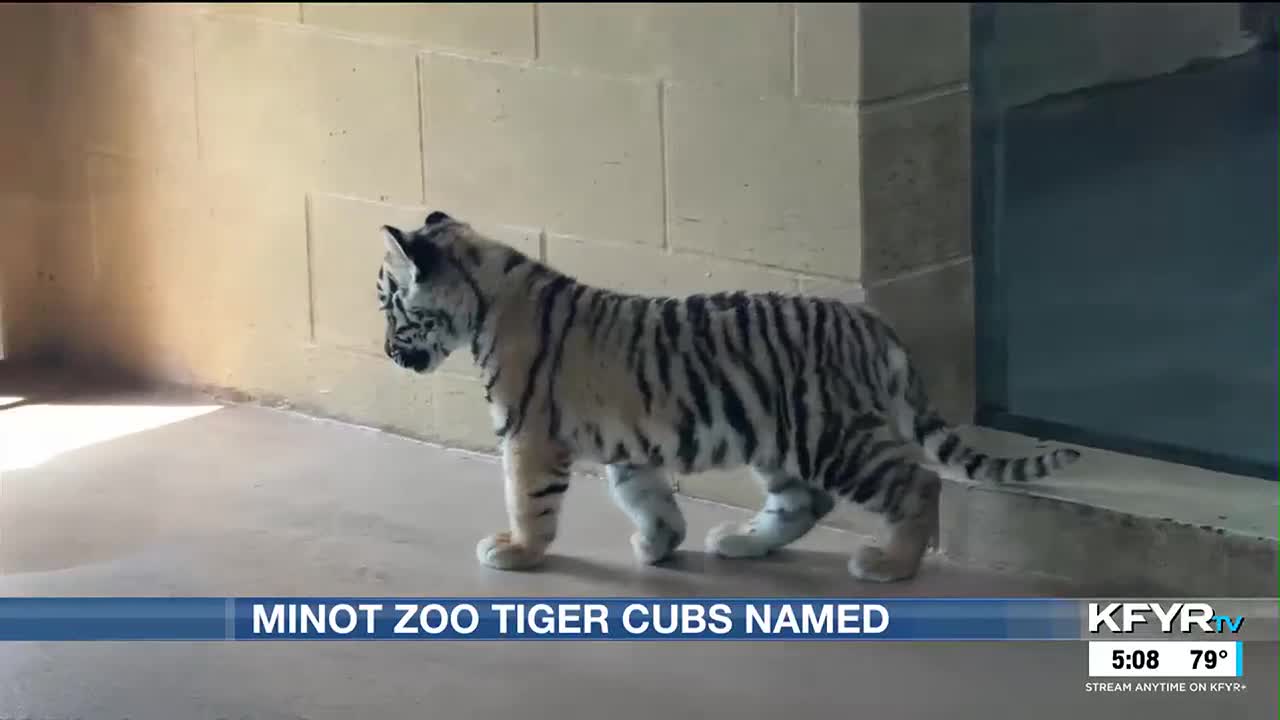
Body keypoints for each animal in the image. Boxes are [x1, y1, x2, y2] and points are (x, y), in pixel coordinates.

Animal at [376, 210, 1081, 582]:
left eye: (388, 304)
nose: (385, 352)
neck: (483, 302)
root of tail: (872, 322)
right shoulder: (627, 445)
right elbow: (646, 497)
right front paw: (658, 545)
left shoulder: (528, 436)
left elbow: (529, 502)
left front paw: (516, 550)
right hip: (782, 438)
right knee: (805, 501)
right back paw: (741, 543)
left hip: (831, 435)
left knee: (917, 482)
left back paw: (889, 563)